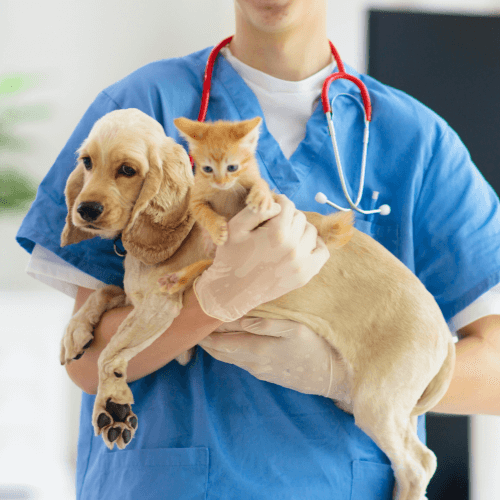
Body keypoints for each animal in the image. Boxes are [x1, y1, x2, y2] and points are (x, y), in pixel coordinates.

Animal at [158, 117, 354, 294]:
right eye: (207, 169)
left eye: (232, 167)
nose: (221, 182)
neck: (226, 191)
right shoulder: (195, 199)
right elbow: (204, 212)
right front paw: (217, 228)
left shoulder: (256, 180)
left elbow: (262, 184)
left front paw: (260, 195)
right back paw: (176, 279)